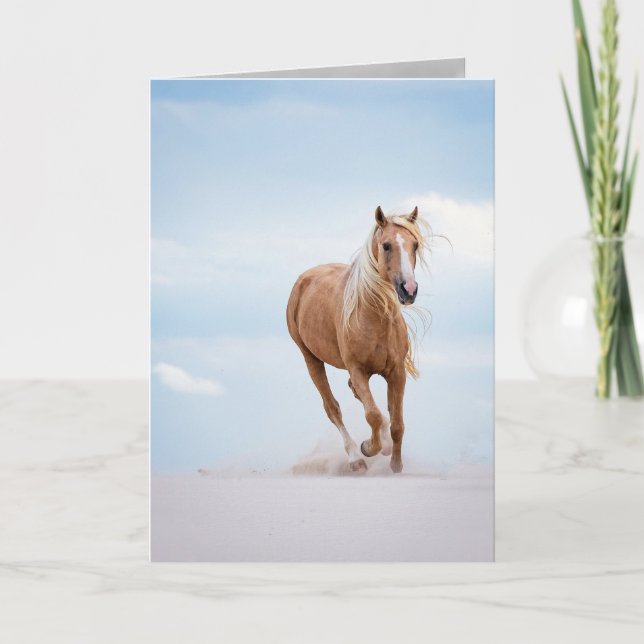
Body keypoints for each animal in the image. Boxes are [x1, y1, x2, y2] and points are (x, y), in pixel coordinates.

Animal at [286, 206, 429, 473]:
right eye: (386, 246)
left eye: (415, 245)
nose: (409, 290)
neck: (374, 317)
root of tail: (304, 279)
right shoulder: (358, 370)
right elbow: (373, 415)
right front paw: (369, 448)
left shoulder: (396, 372)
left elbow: (397, 423)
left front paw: (395, 462)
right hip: (310, 358)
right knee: (333, 408)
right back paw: (355, 458)